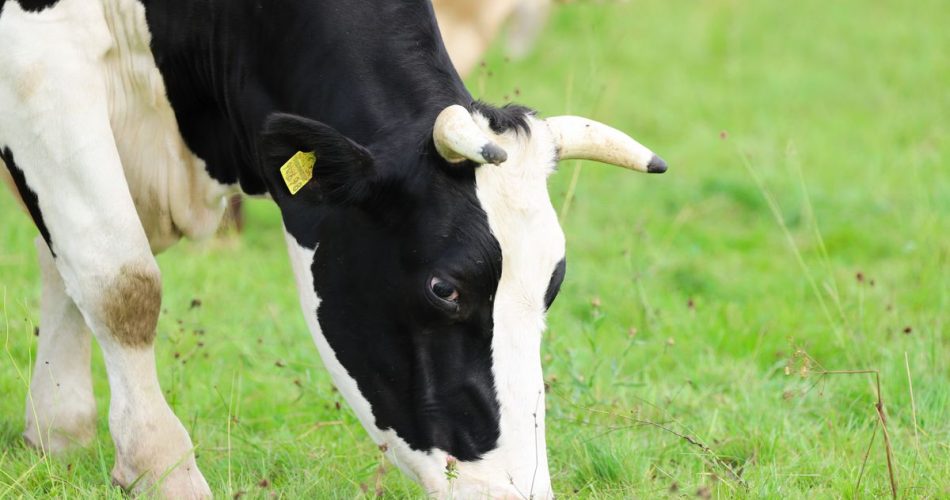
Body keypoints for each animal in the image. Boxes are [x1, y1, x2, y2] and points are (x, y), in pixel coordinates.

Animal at [0, 0, 666, 498]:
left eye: (553, 284)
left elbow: (67, 262)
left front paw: (57, 429)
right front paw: (162, 469)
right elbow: (122, 283)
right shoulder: (39, 56)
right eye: (444, 288)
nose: (515, 490)